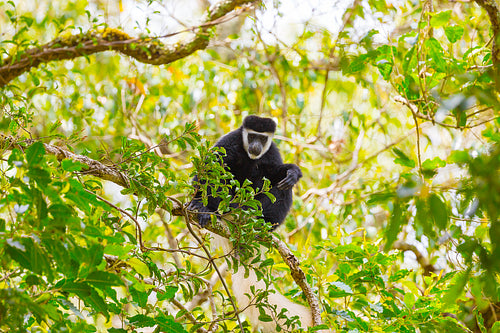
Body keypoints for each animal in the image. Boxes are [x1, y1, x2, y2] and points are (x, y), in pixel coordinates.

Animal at [188, 115, 312, 330]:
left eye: (262, 138)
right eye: (252, 136)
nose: (255, 145)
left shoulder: (271, 151)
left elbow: (277, 172)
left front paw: (293, 172)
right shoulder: (230, 141)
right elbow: (211, 166)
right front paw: (198, 204)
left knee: (281, 186)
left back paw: (262, 223)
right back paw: (208, 210)